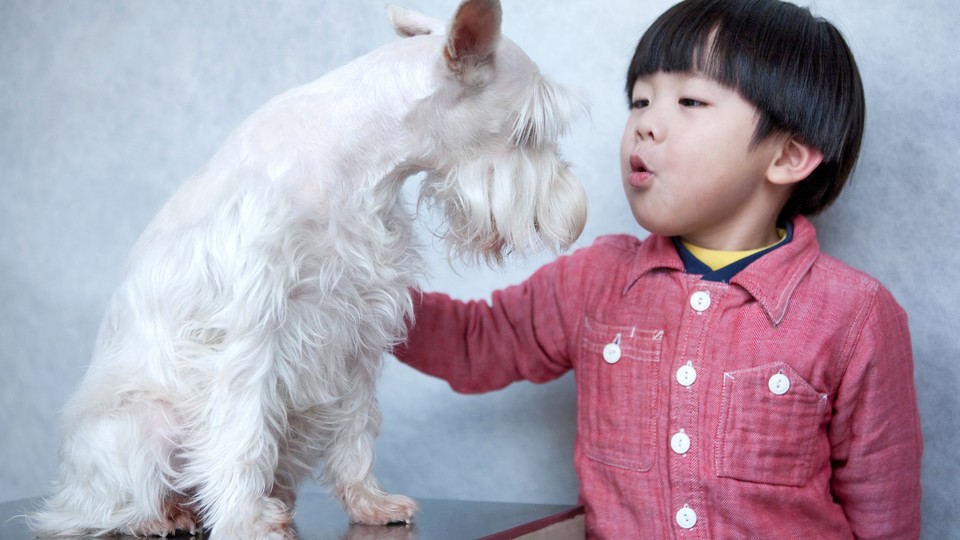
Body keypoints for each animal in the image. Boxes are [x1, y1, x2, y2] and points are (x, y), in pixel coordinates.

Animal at [30, 1, 584, 540]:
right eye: (528, 131)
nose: (574, 215)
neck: (359, 164)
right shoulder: (256, 332)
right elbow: (242, 433)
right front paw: (246, 522)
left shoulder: (360, 326)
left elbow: (357, 428)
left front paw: (369, 502)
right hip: (146, 422)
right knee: (103, 507)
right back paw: (167, 514)